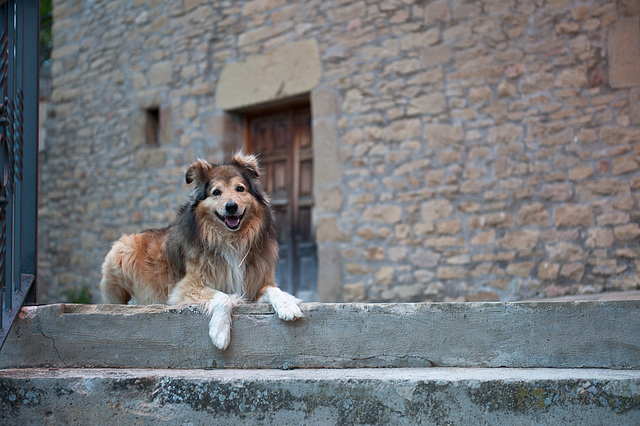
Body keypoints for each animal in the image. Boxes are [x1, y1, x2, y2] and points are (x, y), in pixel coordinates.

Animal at [99, 153, 302, 350]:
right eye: (216, 192)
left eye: (240, 188)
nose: (231, 206)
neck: (231, 240)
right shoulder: (186, 286)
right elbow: (223, 297)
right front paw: (220, 332)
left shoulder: (255, 286)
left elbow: (274, 289)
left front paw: (287, 305)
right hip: (121, 251)